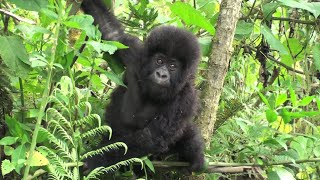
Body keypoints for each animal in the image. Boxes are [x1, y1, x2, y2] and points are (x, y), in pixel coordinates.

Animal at [81, 0, 204, 173]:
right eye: (159, 61)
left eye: (173, 66)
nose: (161, 74)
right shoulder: (136, 55)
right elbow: (112, 34)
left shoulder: (186, 99)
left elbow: (150, 138)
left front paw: (95, 160)